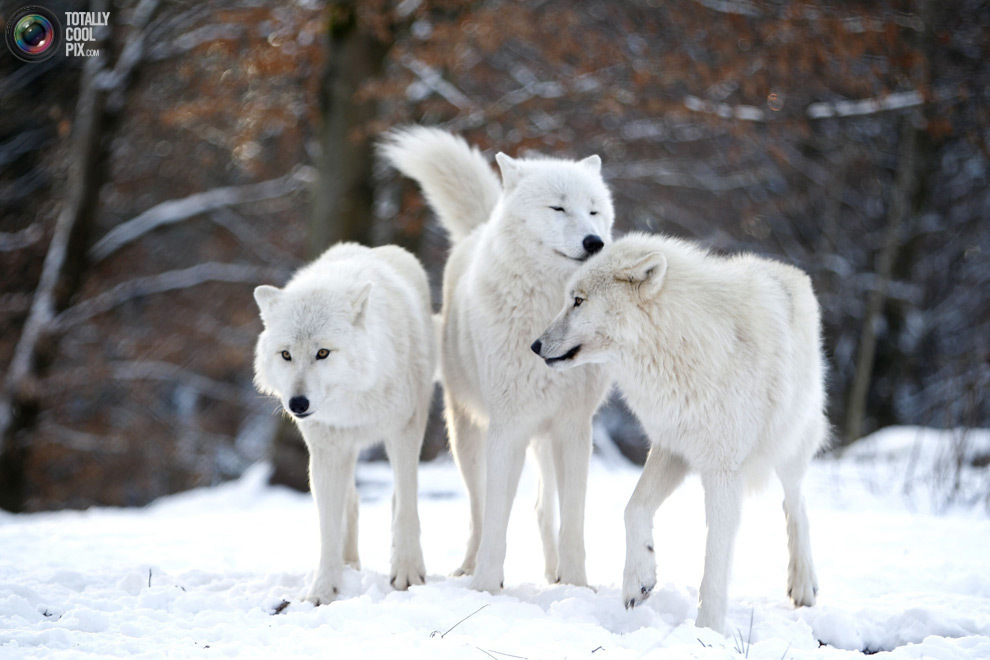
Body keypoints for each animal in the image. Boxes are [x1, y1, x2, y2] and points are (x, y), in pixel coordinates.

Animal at [252, 241, 434, 604]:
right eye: (286, 355)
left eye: (323, 353)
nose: (297, 404)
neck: (353, 403)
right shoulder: (326, 451)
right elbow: (328, 528)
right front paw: (324, 590)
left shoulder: (404, 432)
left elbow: (407, 507)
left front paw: (408, 573)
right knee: (352, 501)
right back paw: (350, 565)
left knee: (396, 498)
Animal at [384, 126, 616, 592]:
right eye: (558, 207)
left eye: (594, 211)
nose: (594, 242)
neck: (548, 315)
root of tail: (479, 227)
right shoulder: (508, 427)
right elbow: (495, 519)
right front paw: (487, 588)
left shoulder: (573, 428)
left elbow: (573, 523)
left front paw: (577, 587)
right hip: (468, 435)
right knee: (477, 508)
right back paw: (469, 568)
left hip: (543, 440)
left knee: (544, 508)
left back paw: (554, 575)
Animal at [536, 233, 828, 636]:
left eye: (578, 301)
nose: (535, 345)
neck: (677, 343)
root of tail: (790, 271)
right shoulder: (671, 448)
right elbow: (633, 508)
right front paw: (638, 581)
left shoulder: (723, 470)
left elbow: (716, 559)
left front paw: (708, 630)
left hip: (789, 445)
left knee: (796, 504)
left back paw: (803, 584)